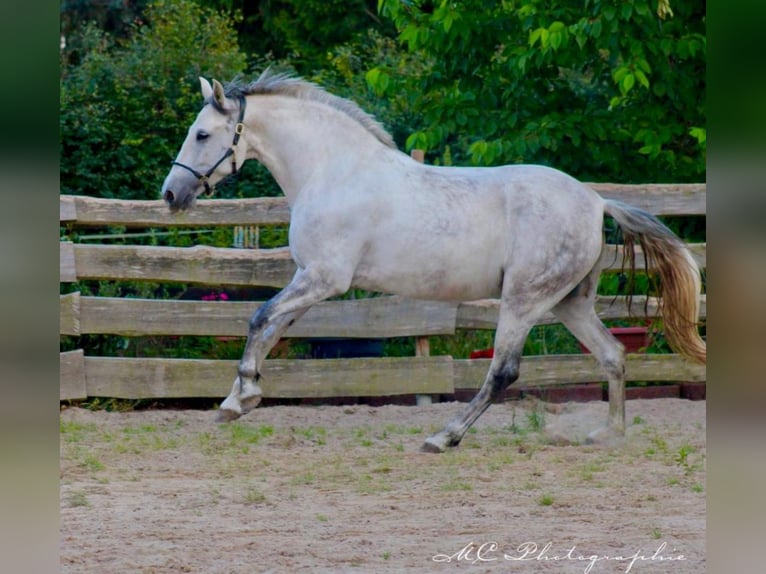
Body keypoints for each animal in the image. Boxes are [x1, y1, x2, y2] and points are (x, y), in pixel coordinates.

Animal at [162, 70, 708, 452]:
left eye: (203, 134)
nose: (171, 194)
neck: (333, 170)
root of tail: (596, 202)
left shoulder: (324, 280)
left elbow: (259, 318)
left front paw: (238, 399)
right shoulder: (309, 279)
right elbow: (273, 328)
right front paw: (242, 398)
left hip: (524, 302)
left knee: (503, 372)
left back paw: (443, 437)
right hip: (568, 303)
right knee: (613, 355)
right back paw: (607, 436)